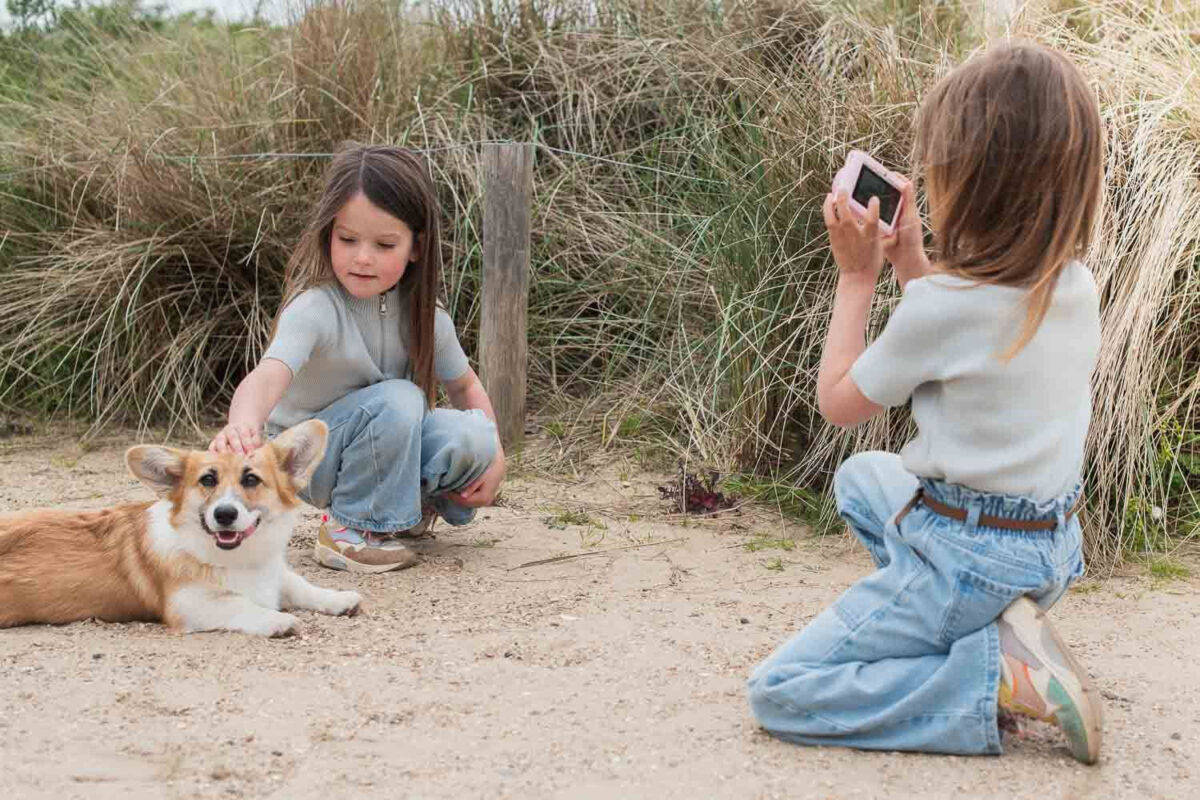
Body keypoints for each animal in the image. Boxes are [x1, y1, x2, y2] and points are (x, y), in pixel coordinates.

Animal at [0, 419, 360, 638]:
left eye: (251, 479)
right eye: (208, 480)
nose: (224, 514)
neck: (235, 559)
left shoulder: (276, 574)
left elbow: (300, 585)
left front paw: (338, 599)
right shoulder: (187, 606)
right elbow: (239, 604)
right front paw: (277, 620)